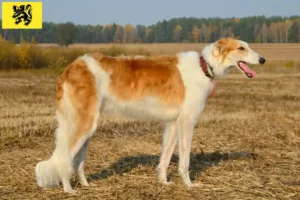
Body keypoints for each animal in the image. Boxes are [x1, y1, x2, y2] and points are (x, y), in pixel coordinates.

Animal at [34, 37, 266, 192]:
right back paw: (68, 189)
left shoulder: (172, 123)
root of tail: (72, 66)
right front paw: (189, 185)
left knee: (76, 161)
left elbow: (164, 159)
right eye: (242, 48)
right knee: (64, 159)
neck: (204, 66)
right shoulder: (187, 122)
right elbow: (185, 161)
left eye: (247, 46)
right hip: (84, 124)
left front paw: (164, 182)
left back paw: (85, 184)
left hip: (87, 124)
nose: (263, 59)